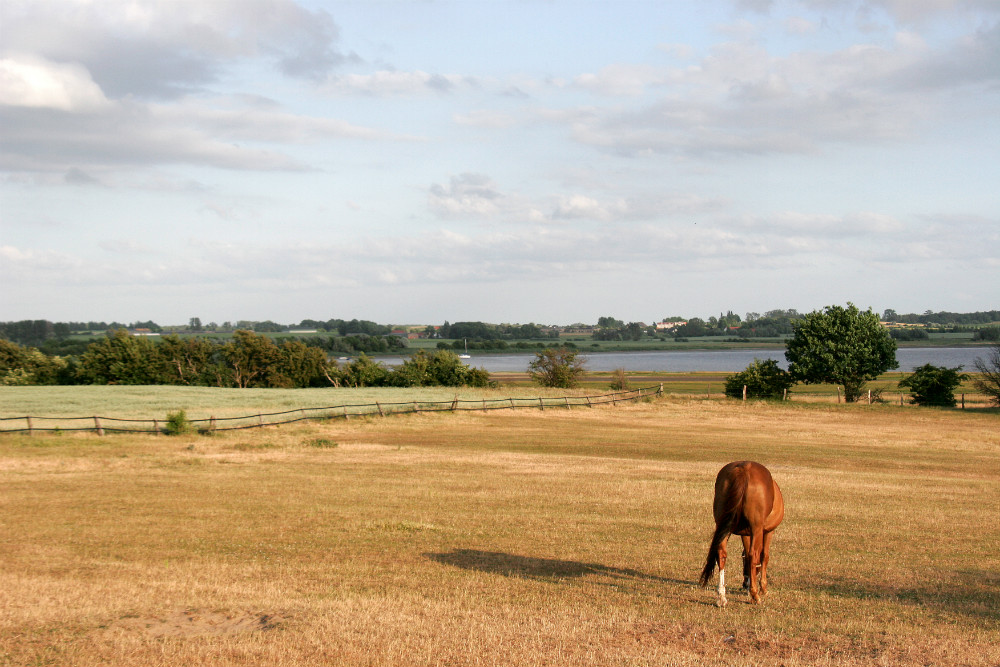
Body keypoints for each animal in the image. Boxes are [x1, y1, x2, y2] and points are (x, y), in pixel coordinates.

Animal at [696, 462, 780, 608]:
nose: (744, 584)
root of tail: (743, 469)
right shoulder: (767, 531)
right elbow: (764, 556)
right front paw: (762, 588)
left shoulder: (745, 534)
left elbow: (745, 556)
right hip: (756, 527)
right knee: (753, 554)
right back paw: (755, 595)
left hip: (723, 525)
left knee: (721, 553)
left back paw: (721, 597)